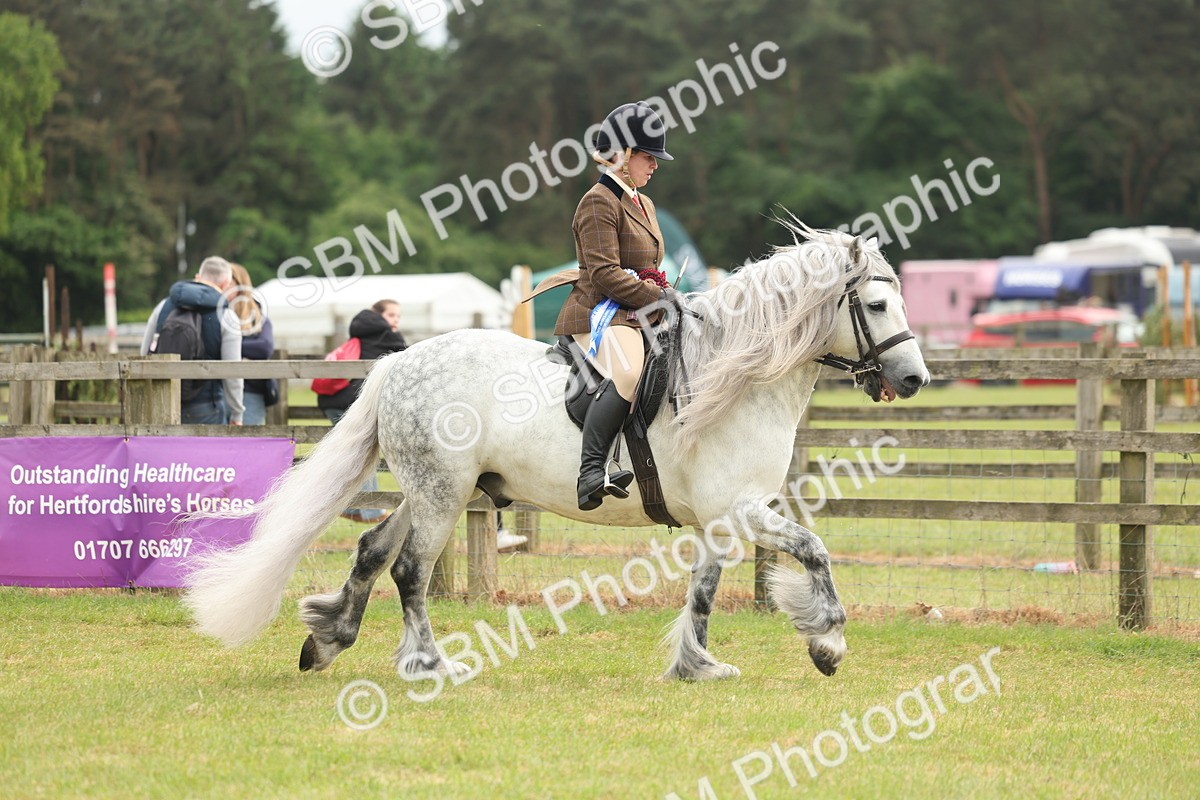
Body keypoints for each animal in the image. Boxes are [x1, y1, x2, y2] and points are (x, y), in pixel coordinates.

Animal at [183, 223, 929, 681]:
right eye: (878, 305)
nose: (915, 379)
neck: (736, 378)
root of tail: (397, 363)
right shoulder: (738, 507)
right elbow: (813, 549)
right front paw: (828, 642)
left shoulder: (720, 518)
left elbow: (706, 589)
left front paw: (697, 665)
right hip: (441, 493)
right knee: (411, 571)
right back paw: (427, 663)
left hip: (435, 490)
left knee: (373, 550)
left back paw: (328, 637)